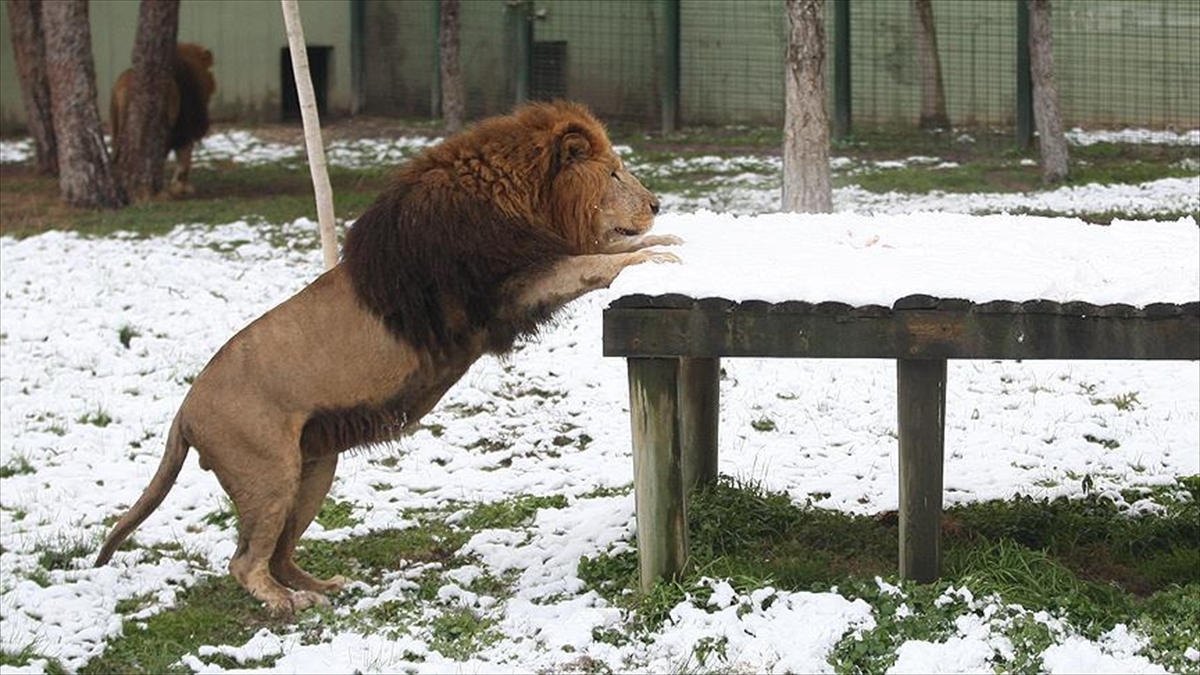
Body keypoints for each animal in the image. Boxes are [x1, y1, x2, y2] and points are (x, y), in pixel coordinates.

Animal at [94, 100, 686, 614]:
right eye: (615, 175)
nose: (658, 205)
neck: (523, 197)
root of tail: (184, 411)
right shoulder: (508, 290)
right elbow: (590, 264)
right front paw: (651, 258)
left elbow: (600, 251)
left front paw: (666, 241)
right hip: (268, 472)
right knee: (244, 562)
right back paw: (287, 603)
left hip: (313, 469)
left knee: (279, 553)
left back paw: (322, 585)